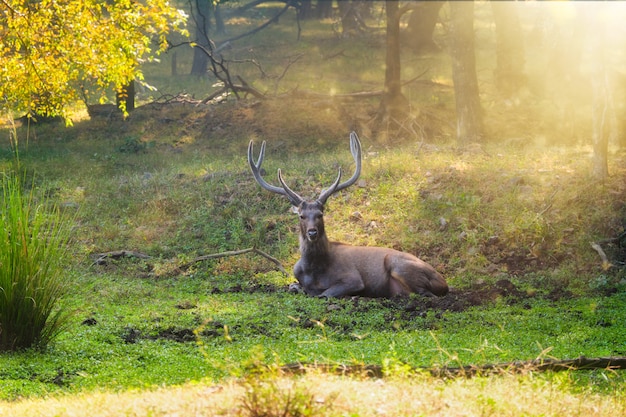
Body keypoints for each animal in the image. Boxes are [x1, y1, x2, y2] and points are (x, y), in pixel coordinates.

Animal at [246, 132, 446, 298]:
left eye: (320, 214)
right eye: (301, 216)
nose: (312, 232)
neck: (313, 271)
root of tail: (444, 282)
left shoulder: (353, 278)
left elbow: (323, 294)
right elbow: (294, 286)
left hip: (399, 265)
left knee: (425, 294)